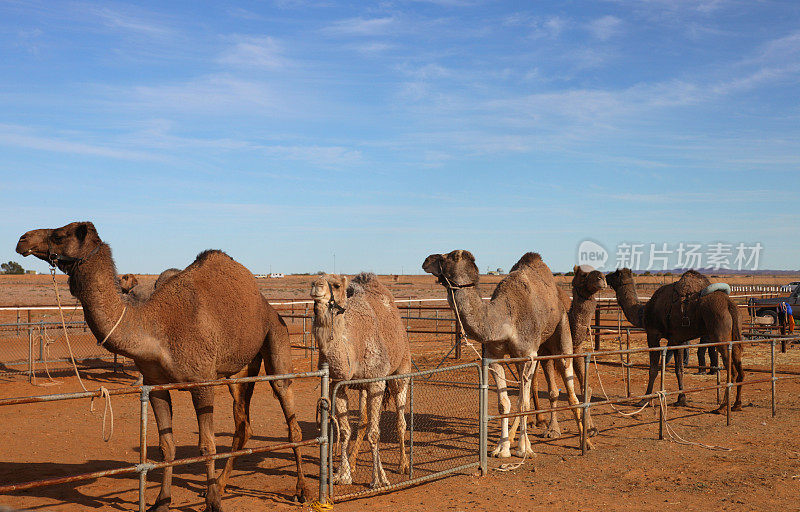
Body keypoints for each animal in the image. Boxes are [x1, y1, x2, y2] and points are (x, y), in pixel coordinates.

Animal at [16, 223, 310, 512]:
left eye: (59, 234)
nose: (22, 239)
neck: (154, 330)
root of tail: (266, 304)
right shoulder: (155, 384)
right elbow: (167, 446)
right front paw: (162, 501)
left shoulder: (202, 382)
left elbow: (207, 446)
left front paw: (213, 504)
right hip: (237, 372)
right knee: (243, 426)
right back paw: (220, 485)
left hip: (276, 338)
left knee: (290, 416)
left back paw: (302, 491)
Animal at [310, 274, 412, 490]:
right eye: (313, 280)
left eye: (336, 285)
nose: (316, 286)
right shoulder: (337, 384)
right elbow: (345, 431)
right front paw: (343, 474)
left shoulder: (377, 382)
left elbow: (375, 433)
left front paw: (378, 479)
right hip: (363, 387)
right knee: (364, 421)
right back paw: (354, 462)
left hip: (401, 371)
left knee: (400, 421)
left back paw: (403, 465)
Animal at [424, 250, 588, 458]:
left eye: (448, 257)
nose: (426, 260)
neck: (504, 320)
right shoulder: (494, 357)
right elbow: (504, 403)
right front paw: (502, 449)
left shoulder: (527, 355)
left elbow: (523, 404)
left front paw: (524, 449)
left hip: (562, 328)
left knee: (568, 382)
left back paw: (585, 440)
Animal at [608, 268, 744, 412]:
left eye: (615, 273)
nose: (606, 276)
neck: (643, 312)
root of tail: (730, 305)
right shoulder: (677, 340)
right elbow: (679, 370)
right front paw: (681, 399)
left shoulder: (652, 334)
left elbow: (653, 369)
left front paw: (644, 400)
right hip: (735, 332)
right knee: (739, 365)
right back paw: (737, 404)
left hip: (720, 334)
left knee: (732, 371)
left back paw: (722, 407)